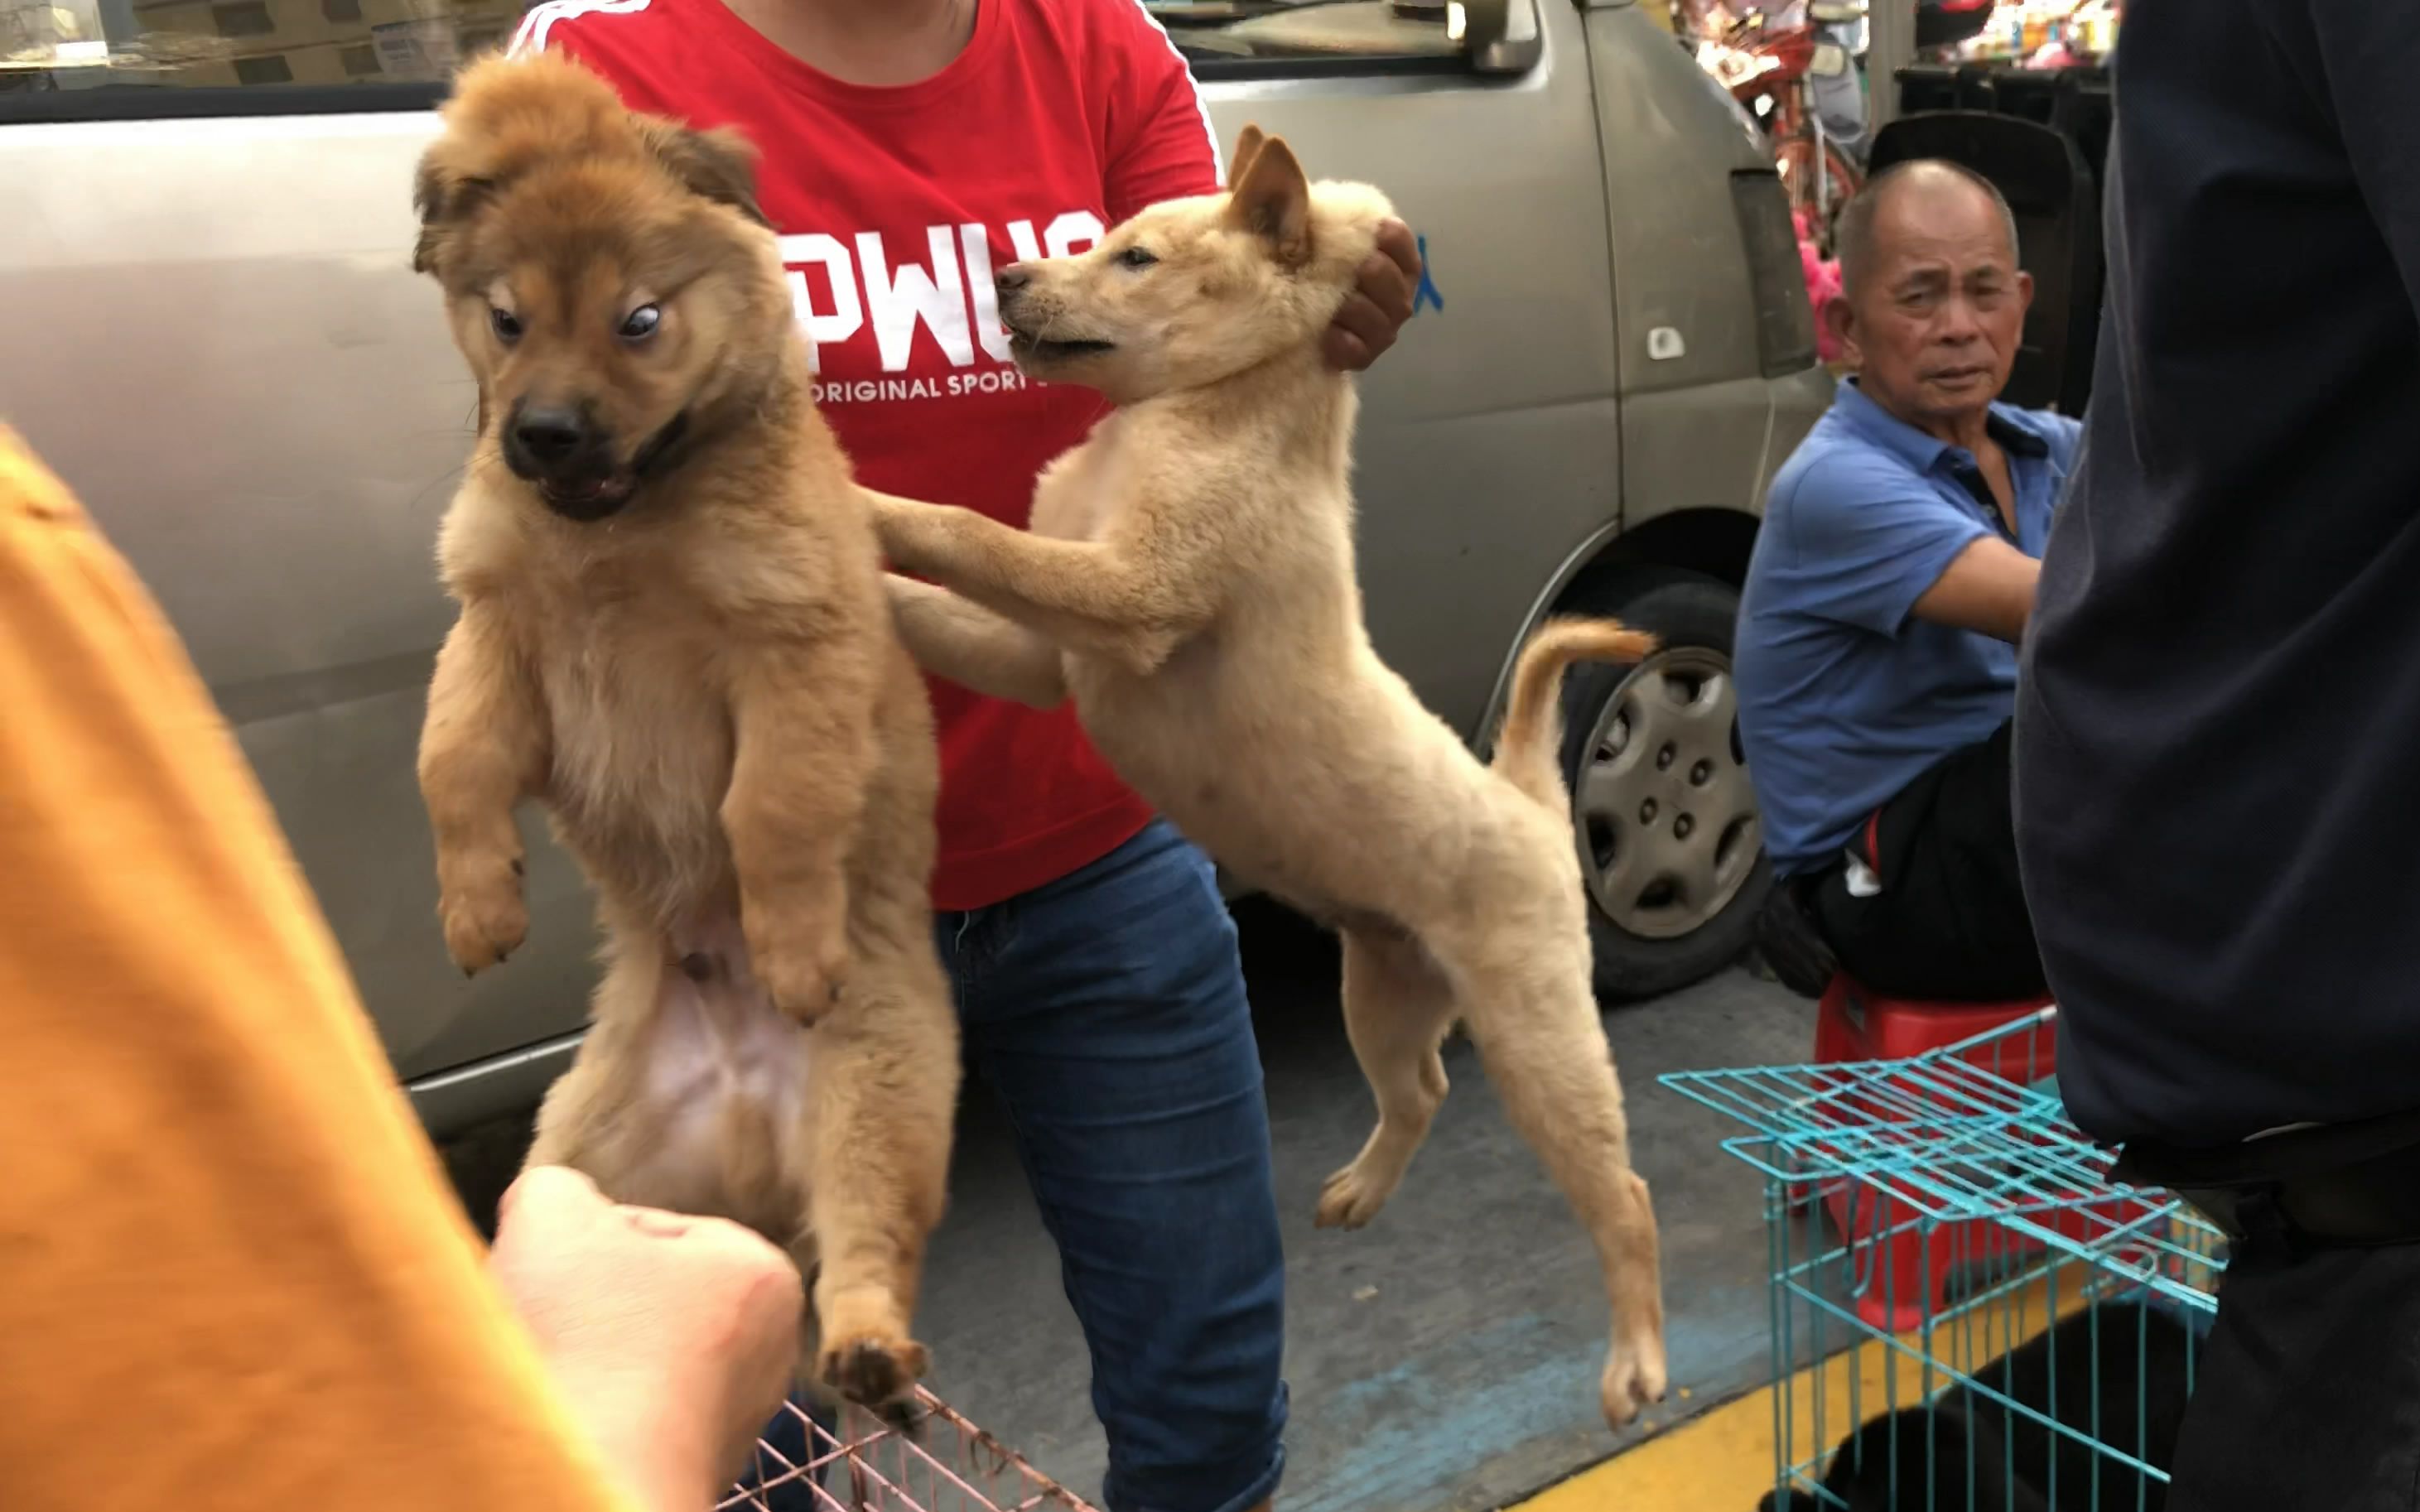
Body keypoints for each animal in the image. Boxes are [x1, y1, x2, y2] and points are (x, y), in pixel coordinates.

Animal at [416, 50, 953, 1413]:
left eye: (639, 320)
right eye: (507, 319)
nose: (542, 433)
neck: (620, 529)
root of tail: (746, 1125)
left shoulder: (789, 647)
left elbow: (770, 810)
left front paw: (791, 947)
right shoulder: (497, 632)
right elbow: (452, 759)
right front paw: (478, 900)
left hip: (877, 1094)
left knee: (866, 1246)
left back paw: (867, 1347)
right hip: (584, 1153)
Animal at [875, 129, 1684, 1422]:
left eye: (1135, 256)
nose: (1004, 275)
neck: (1208, 413)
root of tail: (1524, 799)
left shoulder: (1128, 597)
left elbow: (961, 529)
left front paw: (851, 501)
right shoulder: (1045, 656)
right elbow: (937, 596)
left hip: (1539, 1039)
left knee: (1623, 1194)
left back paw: (1636, 1357)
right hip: (1378, 992)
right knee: (1421, 1093)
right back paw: (1360, 1185)